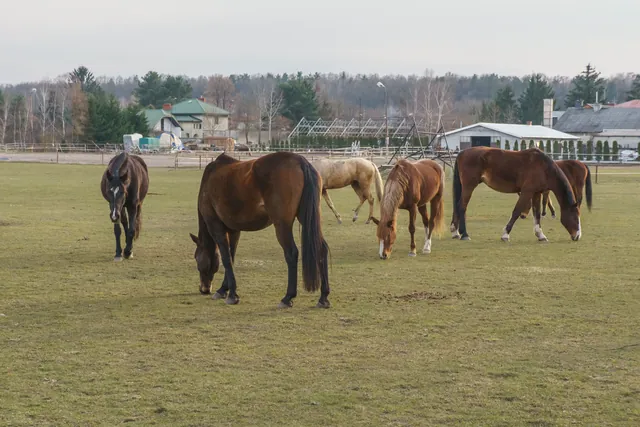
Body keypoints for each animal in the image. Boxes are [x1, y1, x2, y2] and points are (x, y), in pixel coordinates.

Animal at [190, 152, 331, 309]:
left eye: (196, 258)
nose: (204, 289)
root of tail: (300, 161)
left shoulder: (215, 227)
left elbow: (226, 259)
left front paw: (231, 294)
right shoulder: (234, 231)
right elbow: (231, 257)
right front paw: (224, 289)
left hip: (282, 225)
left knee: (291, 253)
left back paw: (287, 297)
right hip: (307, 217)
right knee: (321, 249)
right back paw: (323, 297)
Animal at [449, 147, 581, 242]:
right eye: (575, 217)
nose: (577, 236)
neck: (543, 168)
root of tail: (462, 153)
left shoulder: (536, 193)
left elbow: (537, 214)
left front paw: (540, 235)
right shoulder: (527, 192)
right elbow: (516, 211)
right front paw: (505, 235)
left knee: (457, 205)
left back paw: (455, 232)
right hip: (469, 186)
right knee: (461, 206)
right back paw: (464, 234)